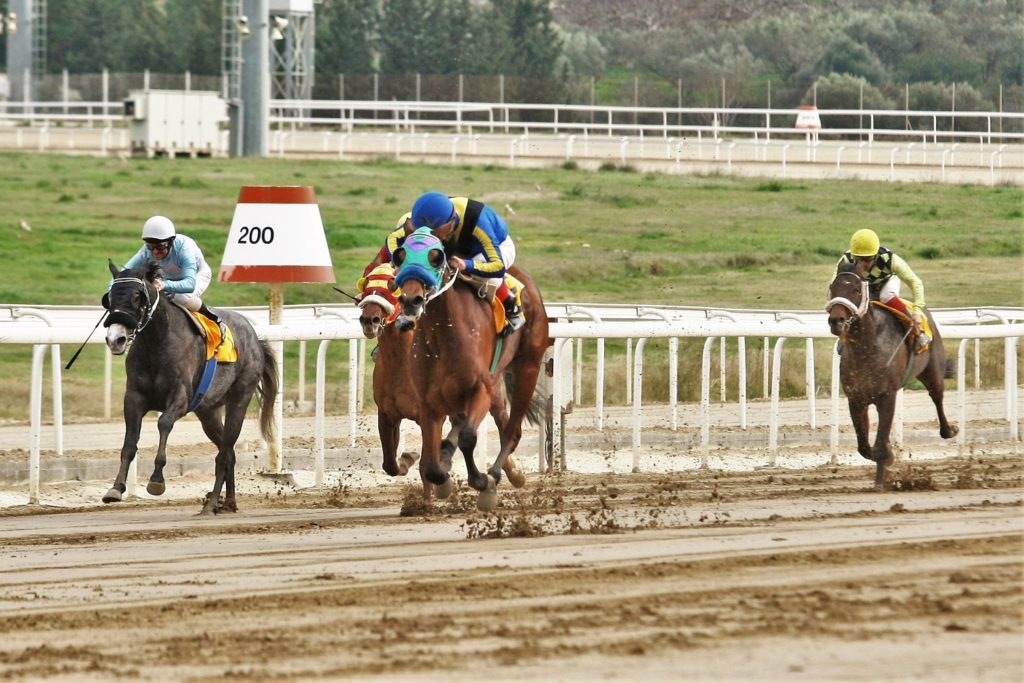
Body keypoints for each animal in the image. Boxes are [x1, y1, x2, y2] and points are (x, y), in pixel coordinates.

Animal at [100, 260, 278, 511]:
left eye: (137, 297)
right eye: (110, 297)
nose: (115, 339)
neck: (156, 343)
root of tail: (256, 338)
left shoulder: (181, 398)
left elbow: (164, 423)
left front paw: (156, 480)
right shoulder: (134, 398)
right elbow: (129, 444)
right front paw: (116, 488)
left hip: (239, 400)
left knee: (224, 453)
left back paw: (211, 504)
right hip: (208, 411)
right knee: (229, 452)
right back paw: (228, 502)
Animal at [393, 229, 552, 507]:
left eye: (436, 257)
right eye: (401, 256)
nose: (411, 300)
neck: (443, 336)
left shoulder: (480, 389)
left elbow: (469, 437)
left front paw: (482, 482)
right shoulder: (428, 401)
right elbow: (430, 464)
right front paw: (443, 479)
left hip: (527, 368)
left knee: (511, 432)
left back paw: (495, 474)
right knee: (464, 424)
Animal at [823, 259, 958, 489]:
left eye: (856, 289)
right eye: (833, 288)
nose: (836, 321)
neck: (868, 348)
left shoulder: (887, 396)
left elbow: (879, 443)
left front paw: (882, 474)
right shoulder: (856, 398)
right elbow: (865, 447)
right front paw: (888, 459)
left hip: (933, 371)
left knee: (937, 398)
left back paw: (950, 430)